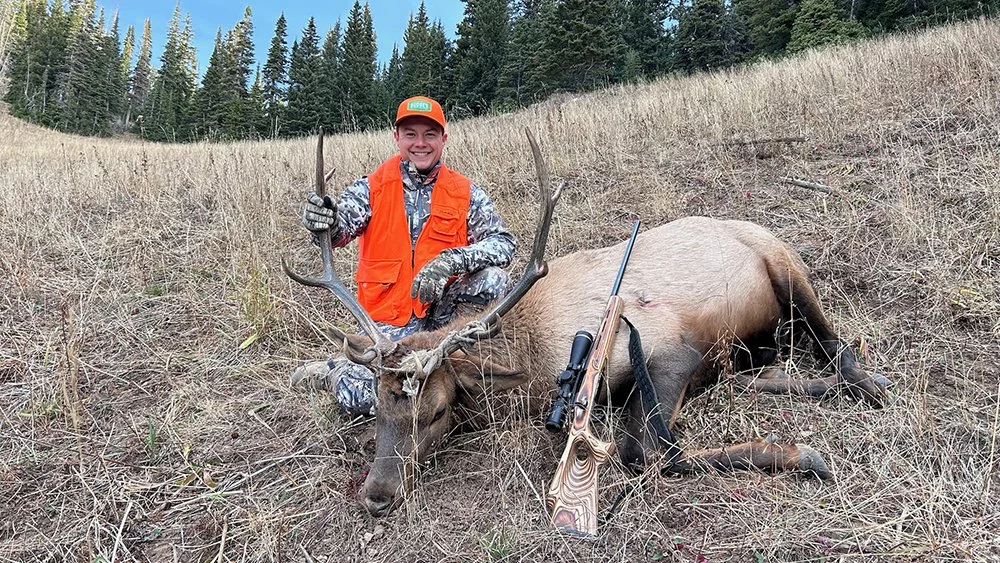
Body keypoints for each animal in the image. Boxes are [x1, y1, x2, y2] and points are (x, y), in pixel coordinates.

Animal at [284, 131, 890, 517]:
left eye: (435, 412)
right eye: (381, 409)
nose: (377, 495)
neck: (529, 365)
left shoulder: (671, 348)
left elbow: (646, 450)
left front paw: (801, 455)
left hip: (783, 263)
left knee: (834, 345)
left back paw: (872, 383)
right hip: (751, 344)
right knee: (766, 371)